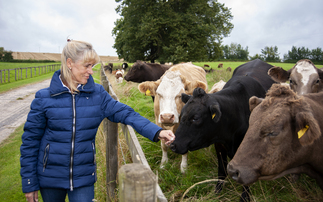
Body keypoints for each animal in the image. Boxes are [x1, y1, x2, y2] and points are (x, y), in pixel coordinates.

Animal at [170, 59, 278, 201]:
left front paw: (245, 197)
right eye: (181, 115)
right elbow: (221, 170)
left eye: (195, 118)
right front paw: (217, 191)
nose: (173, 145)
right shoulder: (219, 144)